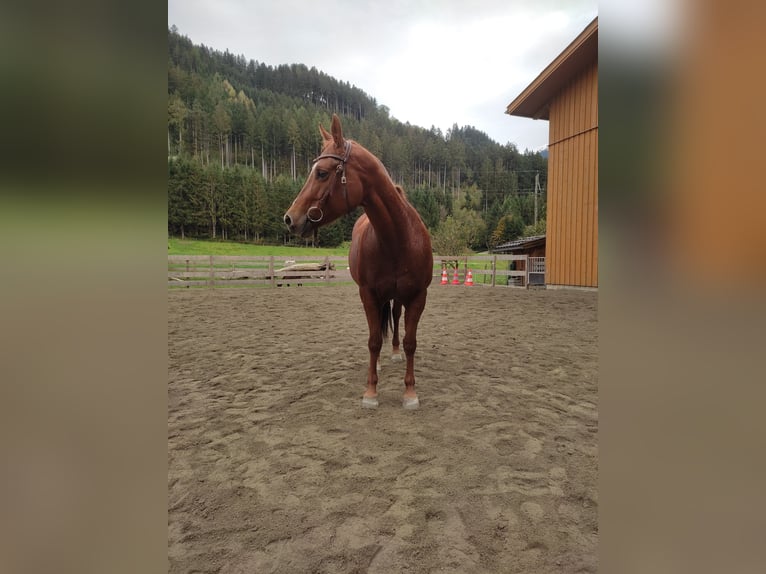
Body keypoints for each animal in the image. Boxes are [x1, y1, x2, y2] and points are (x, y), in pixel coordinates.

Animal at [283, 114, 433, 409]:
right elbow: (373, 341)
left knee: (395, 318)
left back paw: (394, 353)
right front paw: (371, 391)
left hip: (398, 297)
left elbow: (410, 342)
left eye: (322, 172)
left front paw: (410, 393)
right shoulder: (368, 294)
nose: (290, 218)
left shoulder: (417, 296)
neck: (398, 240)